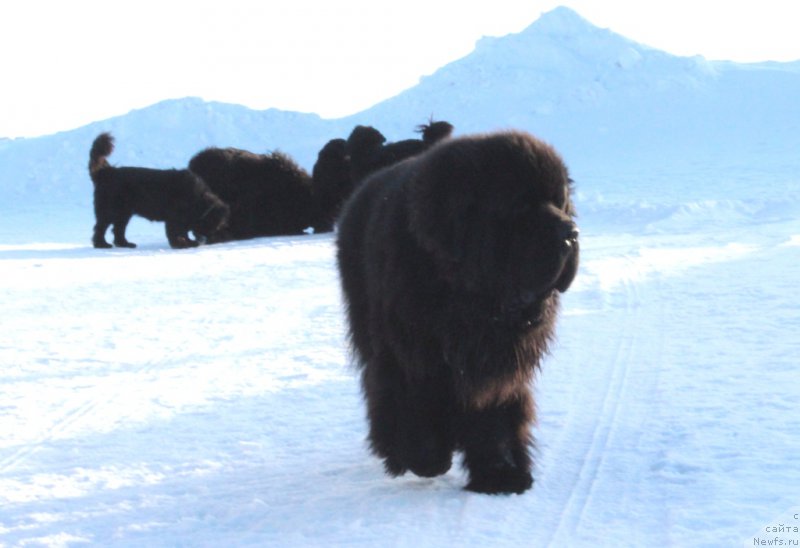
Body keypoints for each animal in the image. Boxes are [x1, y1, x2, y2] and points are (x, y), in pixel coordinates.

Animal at [89, 134, 230, 249]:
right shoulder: (175, 218)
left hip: (124, 213)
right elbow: (176, 232)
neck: (198, 201)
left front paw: (188, 242)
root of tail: (107, 172)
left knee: (118, 229)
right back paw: (101, 244)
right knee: (100, 228)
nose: (209, 240)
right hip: (110, 211)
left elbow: (183, 232)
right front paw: (182, 244)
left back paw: (125, 244)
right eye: (213, 226)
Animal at [334, 131, 580, 494]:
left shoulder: (497, 367)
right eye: (520, 205)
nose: (571, 233)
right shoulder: (412, 356)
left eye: (559, 201)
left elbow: (493, 417)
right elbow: (411, 402)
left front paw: (500, 472)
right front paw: (426, 459)